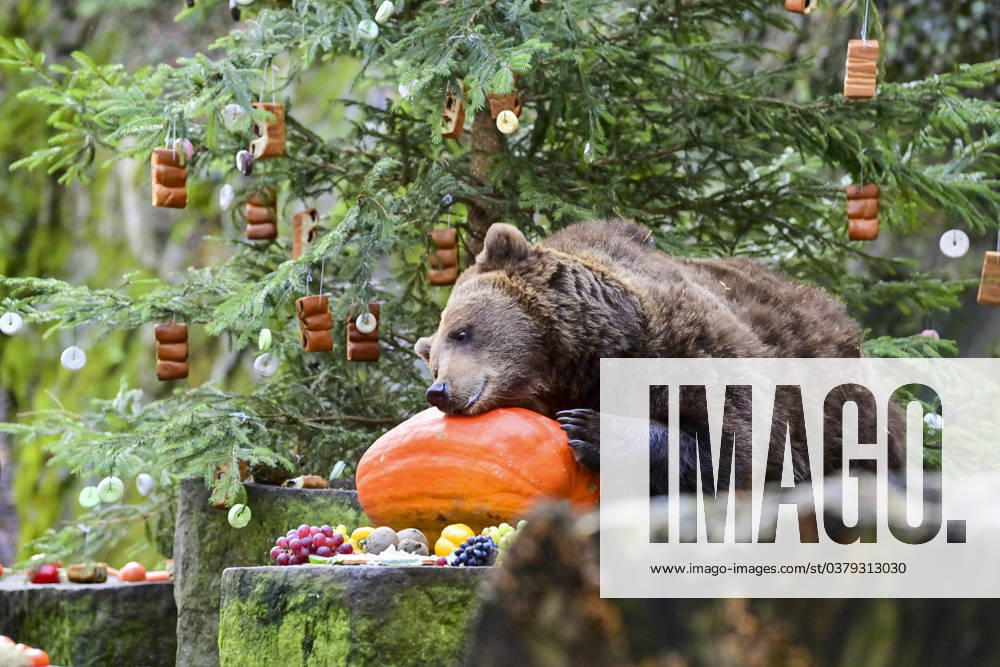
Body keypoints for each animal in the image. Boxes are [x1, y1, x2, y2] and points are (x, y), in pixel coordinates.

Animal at [415, 219, 903, 494]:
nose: (439, 390)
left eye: (462, 331)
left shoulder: (688, 342)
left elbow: (740, 445)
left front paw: (590, 429)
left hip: (842, 403)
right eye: (433, 359)